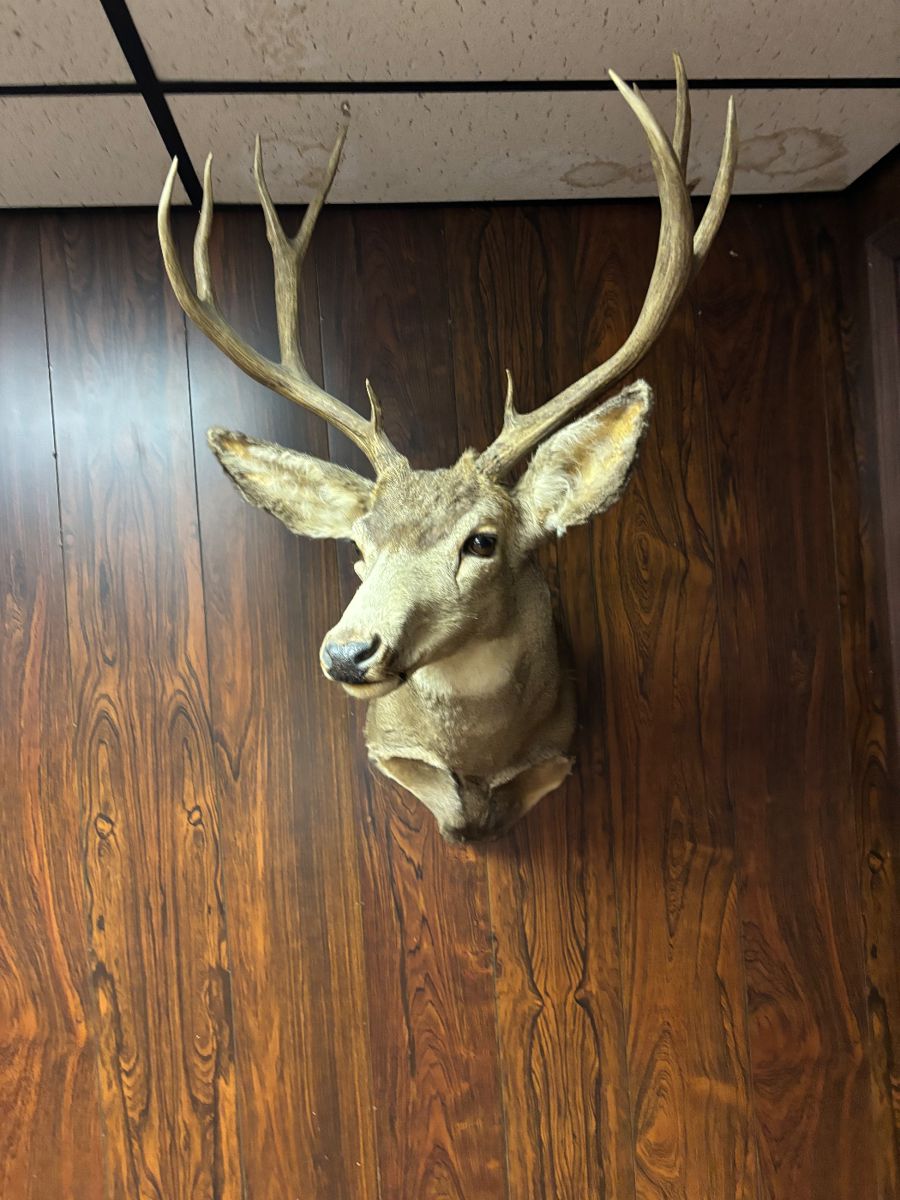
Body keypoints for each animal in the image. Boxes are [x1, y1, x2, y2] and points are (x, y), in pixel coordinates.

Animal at [158, 54, 737, 843]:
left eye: (482, 541)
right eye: (359, 547)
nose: (348, 652)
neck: (479, 757)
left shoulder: (559, 749)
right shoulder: (390, 749)